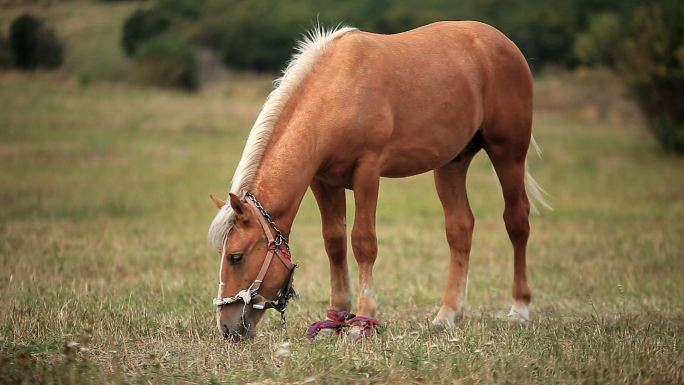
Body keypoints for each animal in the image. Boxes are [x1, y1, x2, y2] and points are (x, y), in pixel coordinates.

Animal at [208, 21, 552, 340]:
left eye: (236, 257)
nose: (227, 327)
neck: (337, 92)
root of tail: (502, 43)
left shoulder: (367, 172)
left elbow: (363, 242)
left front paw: (363, 320)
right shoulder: (323, 181)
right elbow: (334, 243)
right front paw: (336, 318)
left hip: (508, 153)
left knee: (517, 221)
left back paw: (520, 309)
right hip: (451, 164)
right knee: (460, 229)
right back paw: (448, 314)